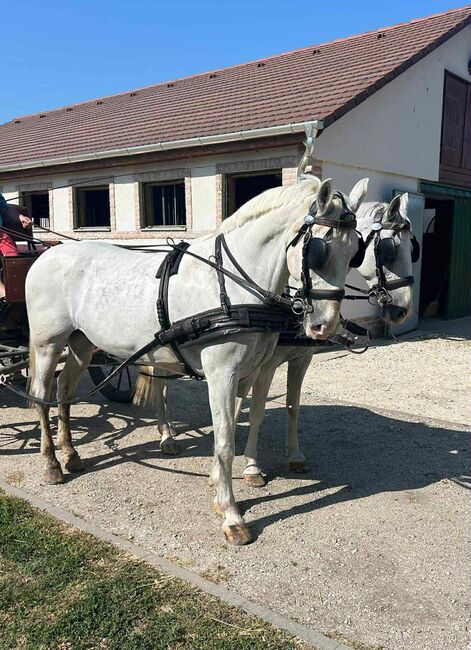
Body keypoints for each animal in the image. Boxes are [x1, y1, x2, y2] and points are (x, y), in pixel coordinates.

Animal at [26, 174, 367, 545]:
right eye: (319, 249)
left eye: (355, 252)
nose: (325, 325)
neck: (232, 285)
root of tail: (49, 254)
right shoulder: (222, 373)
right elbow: (225, 441)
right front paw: (232, 515)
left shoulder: (251, 370)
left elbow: (238, 423)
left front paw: (221, 485)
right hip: (48, 344)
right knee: (43, 396)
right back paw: (51, 464)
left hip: (82, 343)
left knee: (64, 391)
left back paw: (71, 455)